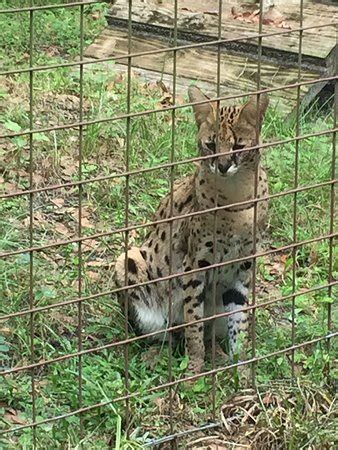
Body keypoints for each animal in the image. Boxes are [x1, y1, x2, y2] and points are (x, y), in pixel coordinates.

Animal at [115, 86, 270, 374]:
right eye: (210, 145)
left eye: (238, 146)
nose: (223, 166)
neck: (237, 195)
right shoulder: (195, 263)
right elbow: (193, 321)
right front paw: (194, 369)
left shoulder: (244, 265)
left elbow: (239, 320)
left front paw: (241, 368)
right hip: (129, 258)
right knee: (168, 332)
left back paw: (216, 353)